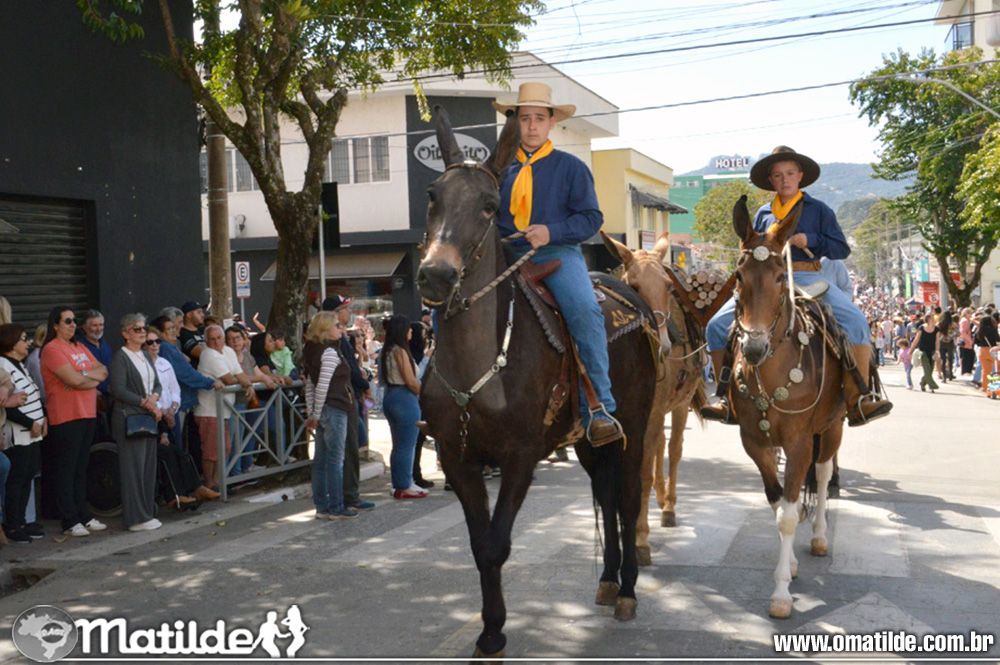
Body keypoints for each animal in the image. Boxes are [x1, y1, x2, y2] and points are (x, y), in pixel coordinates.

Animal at [416, 107, 657, 659]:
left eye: (488, 205)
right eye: (433, 195)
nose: (435, 276)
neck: (479, 366)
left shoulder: (520, 457)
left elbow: (497, 544)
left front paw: (494, 631)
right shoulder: (457, 458)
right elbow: (479, 546)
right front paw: (489, 629)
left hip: (634, 427)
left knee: (628, 497)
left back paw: (628, 590)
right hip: (589, 440)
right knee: (606, 495)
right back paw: (608, 579)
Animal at [601, 232, 707, 564]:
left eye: (668, 286)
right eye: (633, 286)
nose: (664, 345)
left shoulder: (652, 415)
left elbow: (642, 476)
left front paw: (640, 539)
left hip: (679, 405)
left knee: (673, 448)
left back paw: (669, 505)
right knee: (661, 444)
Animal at [727, 194, 845, 619]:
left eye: (781, 276)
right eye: (739, 276)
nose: (754, 347)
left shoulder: (798, 443)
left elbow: (791, 515)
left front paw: (780, 594)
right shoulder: (754, 442)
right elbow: (778, 504)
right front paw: (788, 566)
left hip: (832, 426)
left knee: (823, 475)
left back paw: (822, 536)